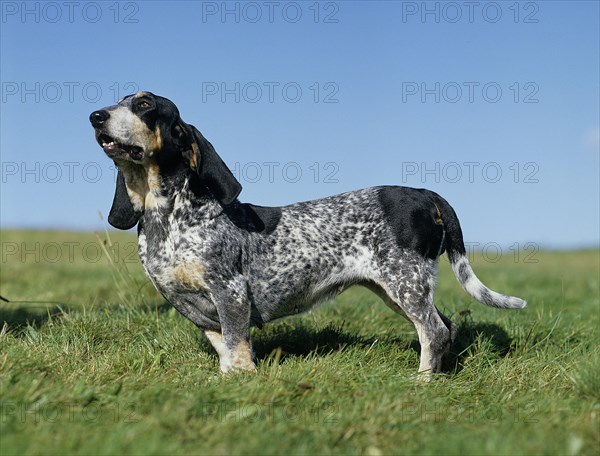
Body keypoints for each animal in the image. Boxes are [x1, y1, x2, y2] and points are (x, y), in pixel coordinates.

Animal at [89, 91, 524, 376]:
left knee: (433, 331)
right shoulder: (194, 308)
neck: (167, 217)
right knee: (444, 328)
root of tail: (426, 194)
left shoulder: (230, 293)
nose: (95, 116)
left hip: (405, 283)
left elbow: (238, 349)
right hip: (397, 289)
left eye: (145, 105)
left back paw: (421, 382)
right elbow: (227, 351)